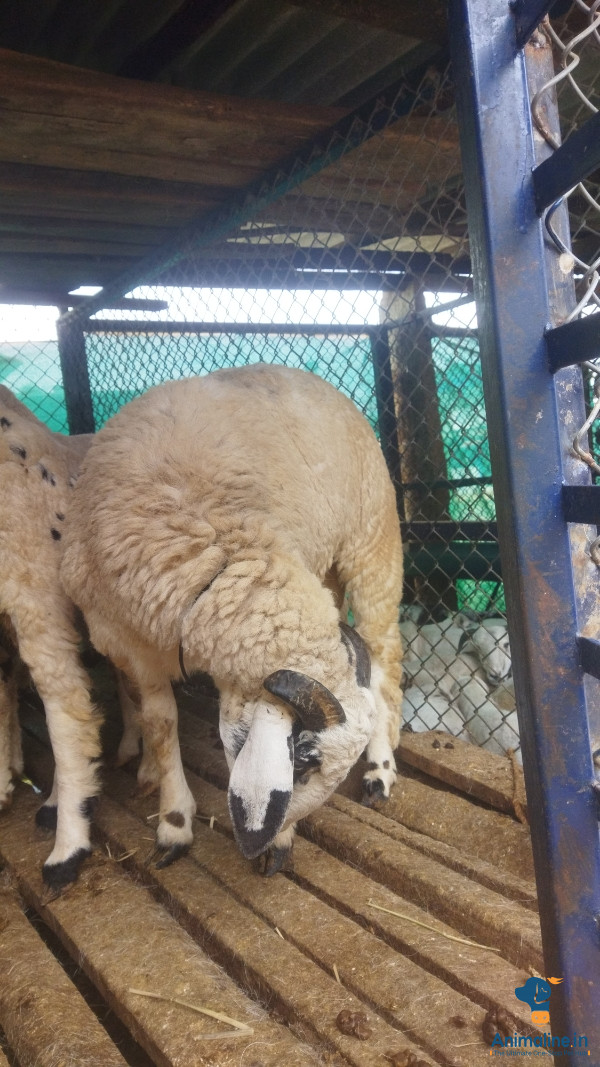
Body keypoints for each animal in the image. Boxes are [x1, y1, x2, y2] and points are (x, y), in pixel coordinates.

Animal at [61, 364, 404, 874]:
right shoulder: (125, 642)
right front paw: (174, 821)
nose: (268, 849)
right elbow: (160, 723)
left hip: (373, 538)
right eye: (304, 760)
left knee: (383, 658)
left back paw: (380, 773)